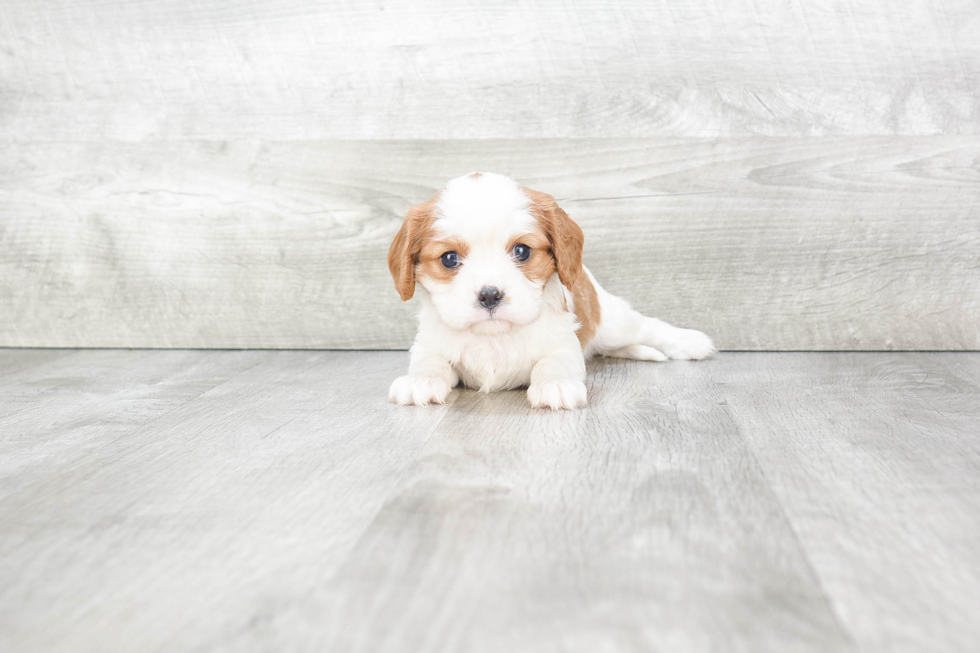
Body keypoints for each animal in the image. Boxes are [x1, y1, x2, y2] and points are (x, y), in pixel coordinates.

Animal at [386, 173, 716, 408]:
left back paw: (691, 343)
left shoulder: (563, 343)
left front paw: (555, 385)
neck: (493, 337)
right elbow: (430, 361)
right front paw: (420, 381)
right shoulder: (430, 344)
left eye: (521, 251)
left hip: (613, 322)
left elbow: (553, 361)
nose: (490, 295)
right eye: (449, 258)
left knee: (647, 326)